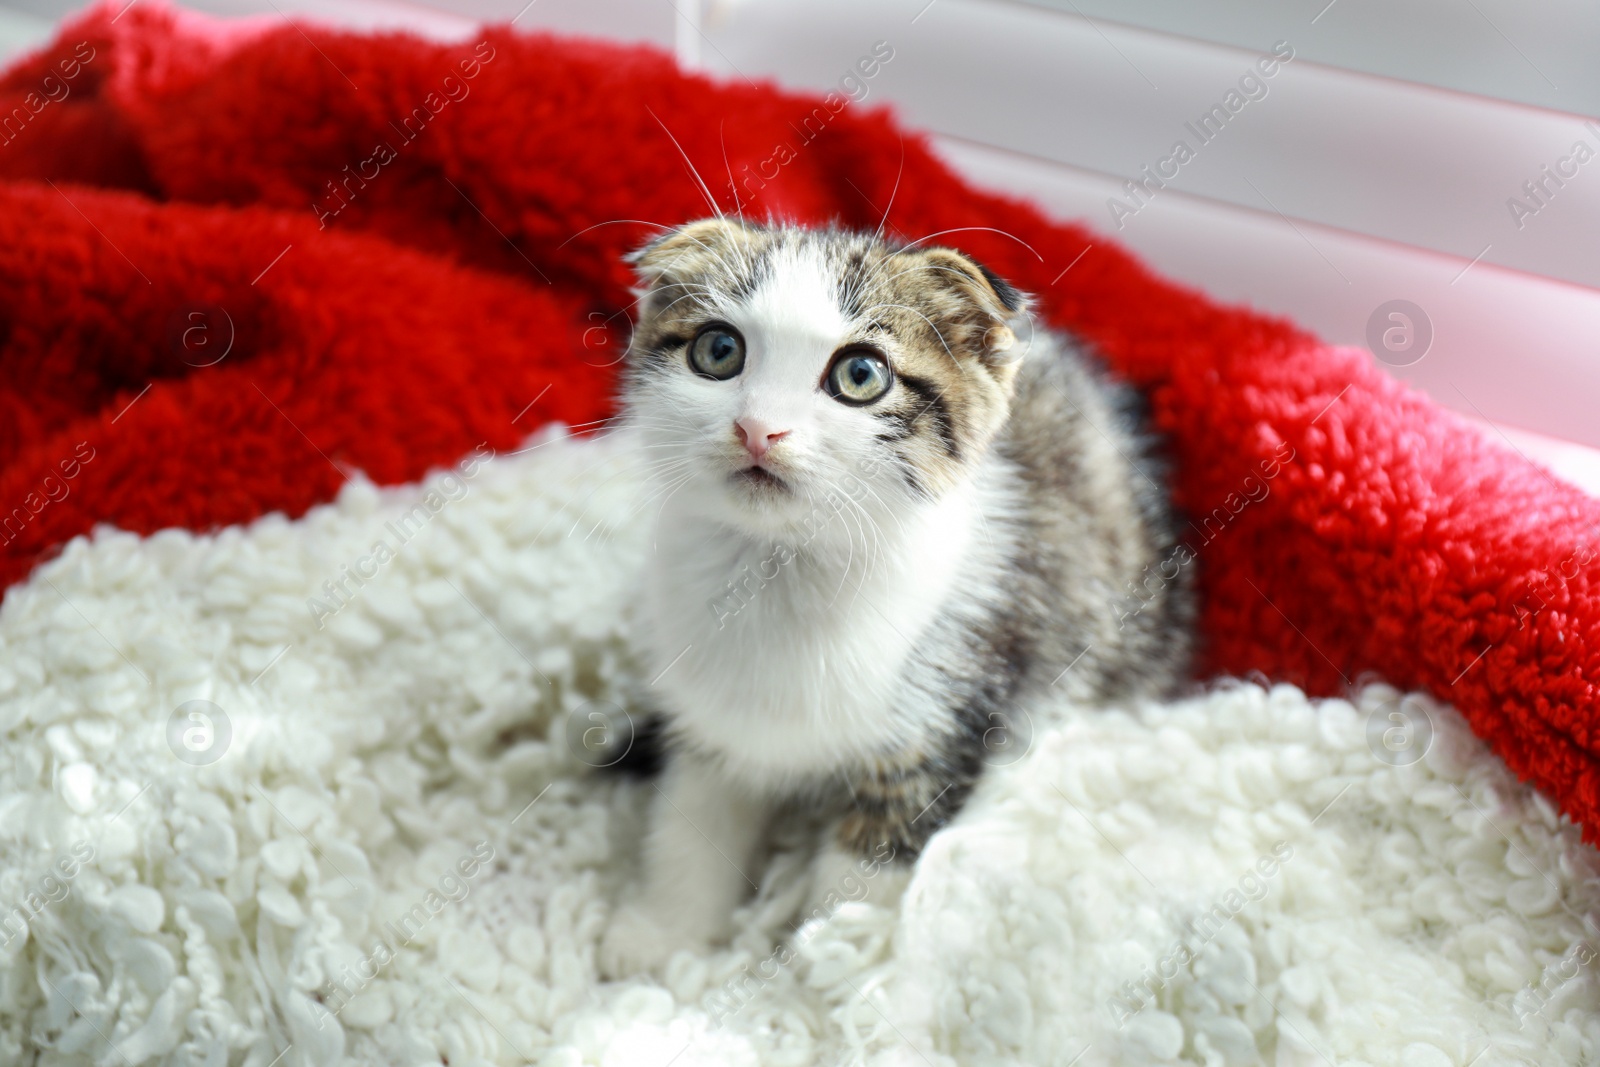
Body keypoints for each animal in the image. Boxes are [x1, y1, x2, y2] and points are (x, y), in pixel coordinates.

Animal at [598, 217, 1190, 979]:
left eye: (860, 375)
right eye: (718, 351)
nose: (758, 428)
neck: (781, 571)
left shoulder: (943, 713)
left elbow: (871, 854)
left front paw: (829, 960)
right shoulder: (705, 711)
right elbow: (693, 815)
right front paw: (663, 931)